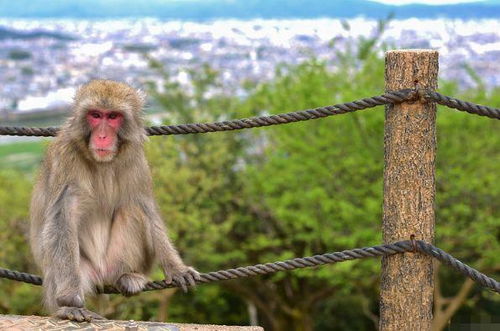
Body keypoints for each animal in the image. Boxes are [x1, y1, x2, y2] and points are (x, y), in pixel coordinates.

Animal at [29, 79, 199, 322]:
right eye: (95, 115)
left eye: (112, 117)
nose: (102, 136)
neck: (102, 162)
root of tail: (102, 275)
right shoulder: (65, 158)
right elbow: (63, 217)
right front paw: (70, 302)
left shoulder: (136, 159)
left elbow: (145, 207)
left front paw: (176, 269)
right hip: (81, 270)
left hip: (115, 262)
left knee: (132, 210)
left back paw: (128, 276)